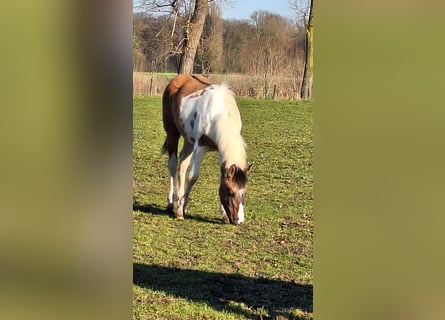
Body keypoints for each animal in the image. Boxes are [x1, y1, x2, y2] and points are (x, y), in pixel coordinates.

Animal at [160, 74, 250, 225]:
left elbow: (221, 177)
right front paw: (180, 213)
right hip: (172, 133)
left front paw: (224, 215)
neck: (219, 113)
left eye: (244, 192)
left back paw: (181, 201)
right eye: (230, 192)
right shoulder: (200, 145)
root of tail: (178, 79)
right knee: (172, 165)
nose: (239, 221)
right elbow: (193, 176)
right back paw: (171, 204)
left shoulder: (219, 148)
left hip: (189, 140)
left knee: (182, 165)